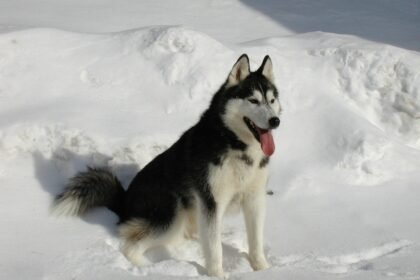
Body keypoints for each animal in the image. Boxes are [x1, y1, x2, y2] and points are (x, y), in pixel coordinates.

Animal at [53, 53, 282, 276]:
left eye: (272, 100)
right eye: (253, 100)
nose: (275, 121)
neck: (234, 144)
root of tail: (125, 199)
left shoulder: (254, 199)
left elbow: (255, 242)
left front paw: (264, 270)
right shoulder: (211, 202)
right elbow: (215, 250)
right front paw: (217, 275)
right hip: (172, 214)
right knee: (131, 247)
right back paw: (148, 270)